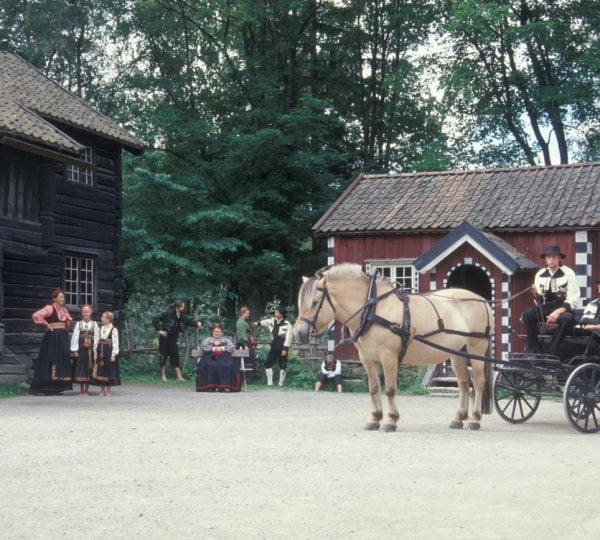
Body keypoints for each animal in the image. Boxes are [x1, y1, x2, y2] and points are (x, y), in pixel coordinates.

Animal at [292, 264, 494, 432]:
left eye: (315, 302)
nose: (299, 333)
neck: (372, 309)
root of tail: (482, 300)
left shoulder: (389, 357)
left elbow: (389, 389)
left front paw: (390, 421)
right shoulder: (367, 359)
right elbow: (374, 388)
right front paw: (374, 419)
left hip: (476, 348)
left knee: (478, 382)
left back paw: (474, 420)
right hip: (457, 353)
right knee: (464, 383)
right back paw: (458, 419)